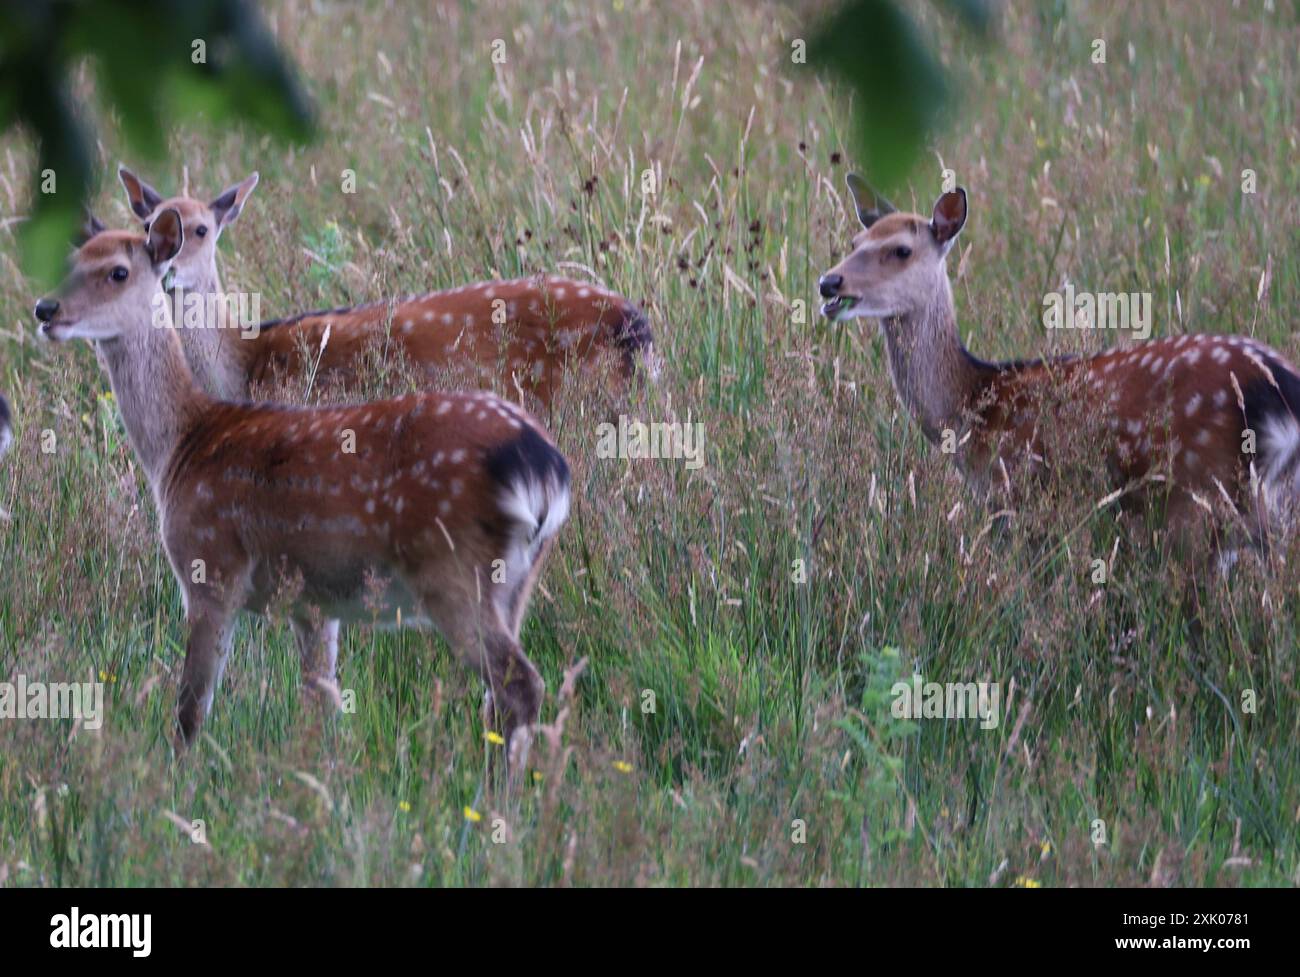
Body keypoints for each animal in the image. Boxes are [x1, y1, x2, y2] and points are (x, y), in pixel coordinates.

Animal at [34, 208, 571, 775]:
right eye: (71, 260)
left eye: (117, 271)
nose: (45, 309)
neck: (179, 447)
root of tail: (546, 467)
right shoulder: (312, 603)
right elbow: (324, 703)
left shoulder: (210, 568)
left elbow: (190, 710)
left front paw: (173, 783)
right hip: (518, 579)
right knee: (501, 698)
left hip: (453, 569)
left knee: (519, 685)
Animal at [818, 175, 1300, 563]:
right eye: (855, 243)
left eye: (901, 250)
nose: (828, 282)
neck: (969, 405)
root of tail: (1278, 387)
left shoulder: (1016, 493)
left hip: (1198, 491)